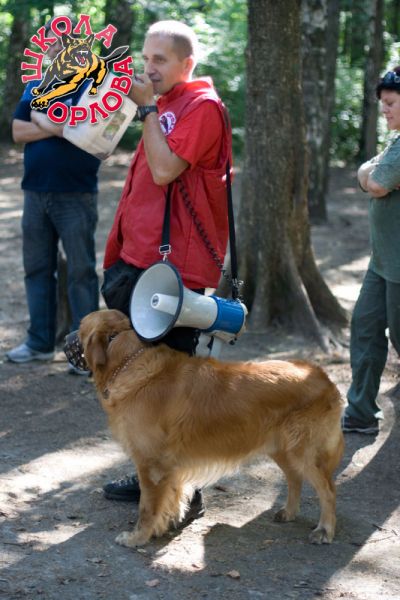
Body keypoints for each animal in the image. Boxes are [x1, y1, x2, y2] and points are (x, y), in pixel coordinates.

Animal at [78, 309, 344, 547]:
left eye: (79, 330)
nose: (67, 336)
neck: (130, 361)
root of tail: (323, 377)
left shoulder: (151, 465)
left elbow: (147, 507)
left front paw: (138, 538)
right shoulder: (169, 467)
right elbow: (172, 497)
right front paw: (170, 522)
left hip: (304, 452)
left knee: (329, 491)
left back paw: (325, 530)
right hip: (281, 448)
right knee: (294, 478)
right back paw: (289, 512)